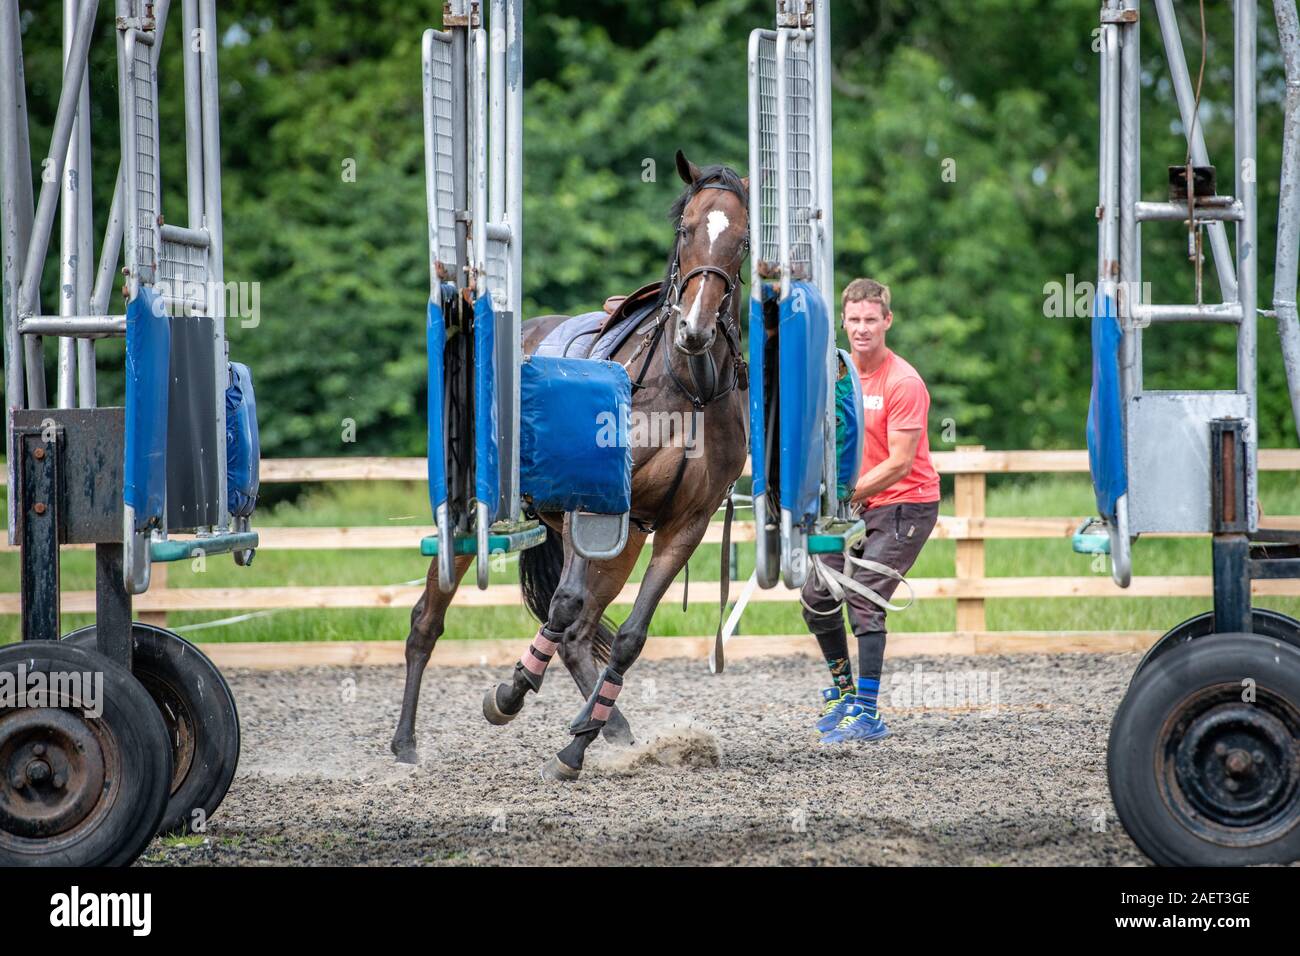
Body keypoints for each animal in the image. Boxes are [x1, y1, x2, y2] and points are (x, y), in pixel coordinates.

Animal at [390, 149, 748, 780]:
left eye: (743, 241)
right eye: (686, 231)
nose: (695, 328)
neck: (689, 389)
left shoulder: (685, 526)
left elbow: (628, 636)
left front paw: (576, 745)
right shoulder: (595, 508)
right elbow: (562, 608)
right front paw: (509, 694)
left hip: (624, 539)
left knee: (579, 633)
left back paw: (609, 727)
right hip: (467, 515)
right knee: (428, 620)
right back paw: (407, 741)